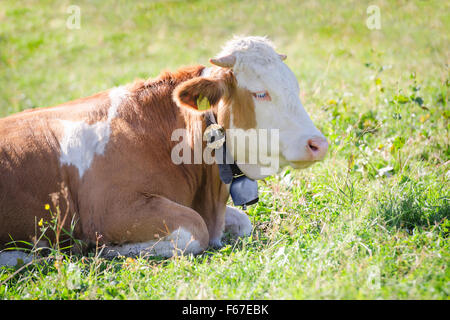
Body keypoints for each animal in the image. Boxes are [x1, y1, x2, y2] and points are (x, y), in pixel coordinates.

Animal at [0, 35, 326, 266]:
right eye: (260, 93)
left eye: (295, 88)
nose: (318, 144)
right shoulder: (111, 210)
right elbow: (195, 230)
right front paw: (109, 249)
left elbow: (242, 221)